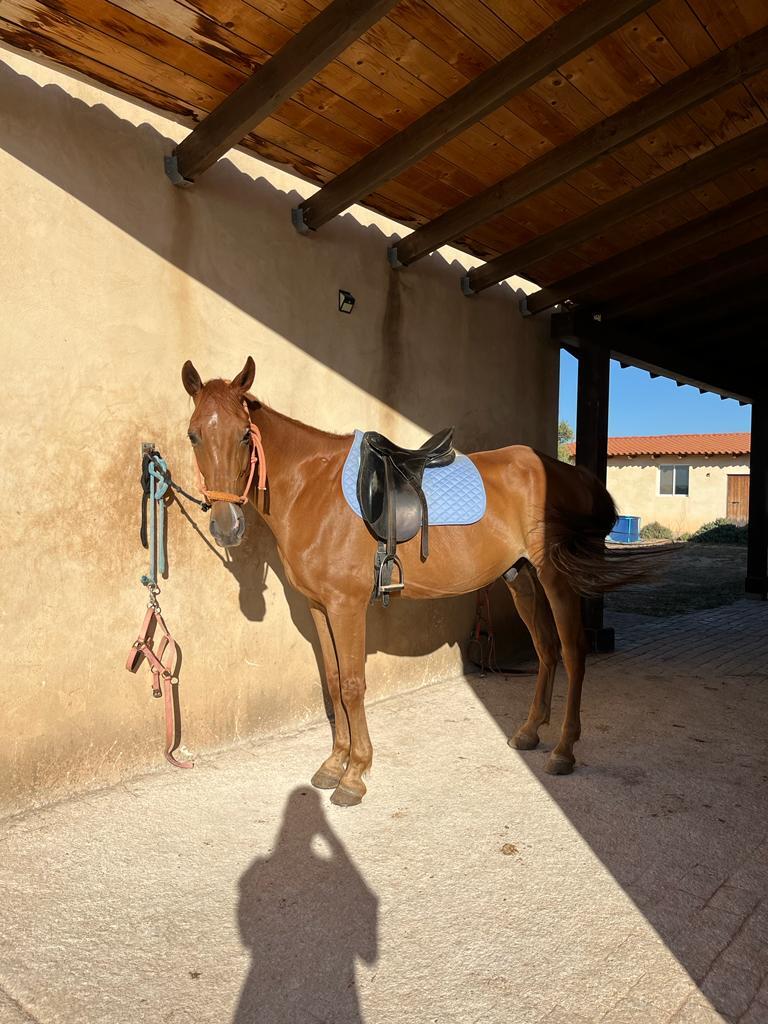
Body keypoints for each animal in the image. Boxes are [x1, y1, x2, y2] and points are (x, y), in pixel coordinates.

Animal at [182, 356, 642, 806]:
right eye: (193, 435)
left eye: (245, 435)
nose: (226, 526)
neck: (311, 487)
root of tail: (571, 474)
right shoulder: (318, 606)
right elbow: (332, 681)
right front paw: (334, 764)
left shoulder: (346, 606)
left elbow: (352, 685)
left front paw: (354, 774)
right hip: (522, 578)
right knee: (546, 649)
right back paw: (529, 732)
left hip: (557, 579)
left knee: (573, 652)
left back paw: (563, 750)